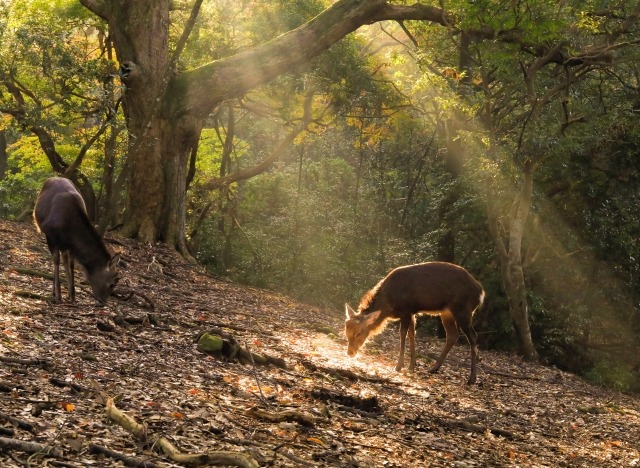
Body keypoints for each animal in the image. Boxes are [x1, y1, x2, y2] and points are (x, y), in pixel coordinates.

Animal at [33, 177, 121, 306]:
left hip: (64, 245)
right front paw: (58, 295)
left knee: (65, 259)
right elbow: (56, 261)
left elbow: (71, 264)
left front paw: (73, 295)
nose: (102, 302)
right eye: (112, 284)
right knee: (56, 260)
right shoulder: (51, 236)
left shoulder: (71, 245)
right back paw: (55, 292)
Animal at [344, 262, 484, 386]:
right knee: (452, 335)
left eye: (359, 333)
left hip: (463, 309)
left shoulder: (406, 309)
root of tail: (480, 292)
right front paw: (412, 366)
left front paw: (399, 366)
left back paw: (472, 378)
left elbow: (403, 334)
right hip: (446, 312)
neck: (389, 304)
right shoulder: (412, 312)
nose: (350, 352)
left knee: (473, 336)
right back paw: (433, 368)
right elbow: (412, 334)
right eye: (346, 332)